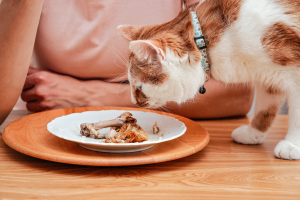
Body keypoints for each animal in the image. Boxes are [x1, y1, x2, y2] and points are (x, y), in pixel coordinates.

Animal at [116, 0, 300, 159]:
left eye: (139, 87)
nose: (133, 101)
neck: (205, 41)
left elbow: (296, 113)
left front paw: (292, 145)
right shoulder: (269, 77)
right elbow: (265, 109)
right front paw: (253, 134)